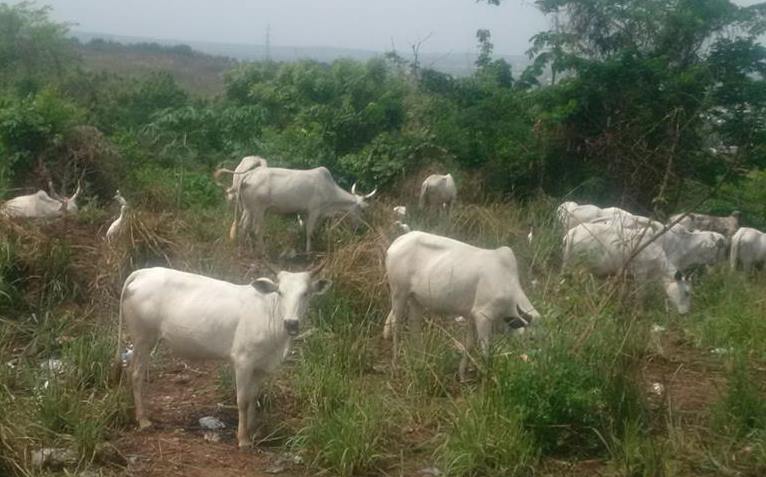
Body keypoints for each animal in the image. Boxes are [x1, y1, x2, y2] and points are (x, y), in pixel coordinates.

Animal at [117, 264, 330, 446]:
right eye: (280, 292)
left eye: (306, 293)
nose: (291, 323)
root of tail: (143, 272)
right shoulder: (243, 361)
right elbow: (243, 399)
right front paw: (243, 438)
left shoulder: (261, 366)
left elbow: (254, 397)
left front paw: (253, 431)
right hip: (143, 338)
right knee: (136, 374)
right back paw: (144, 420)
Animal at [234, 165, 378, 251]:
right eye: (363, 210)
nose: (360, 228)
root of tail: (249, 174)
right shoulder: (314, 210)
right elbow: (309, 231)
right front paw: (308, 251)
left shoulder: (305, 213)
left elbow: (305, 230)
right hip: (259, 210)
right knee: (256, 230)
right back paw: (262, 252)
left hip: (248, 209)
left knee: (243, 226)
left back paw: (243, 248)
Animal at [384, 231, 540, 380]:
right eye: (531, 339)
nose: (531, 363)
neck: (508, 284)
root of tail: (398, 241)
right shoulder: (483, 316)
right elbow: (485, 352)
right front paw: (487, 377)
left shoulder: (472, 317)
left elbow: (469, 345)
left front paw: (462, 375)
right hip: (399, 294)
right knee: (396, 326)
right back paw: (396, 364)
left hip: (415, 300)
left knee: (414, 328)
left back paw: (420, 362)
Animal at [560, 222, 692, 312]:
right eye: (687, 293)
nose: (685, 313)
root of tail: (572, 232)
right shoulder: (640, 274)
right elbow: (640, 295)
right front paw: (639, 311)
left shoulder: (627, 276)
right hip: (582, 268)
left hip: (568, 265)